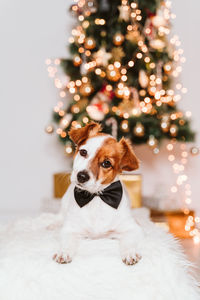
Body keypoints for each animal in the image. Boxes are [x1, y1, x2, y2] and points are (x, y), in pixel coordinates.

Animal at [53, 122, 144, 264]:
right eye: (83, 152)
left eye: (106, 163)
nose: (81, 176)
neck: (96, 197)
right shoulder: (70, 229)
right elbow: (67, 242)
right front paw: (64, 252)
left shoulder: (132, 228)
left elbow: (129, 241)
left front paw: (130, 252)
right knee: (59, 216)